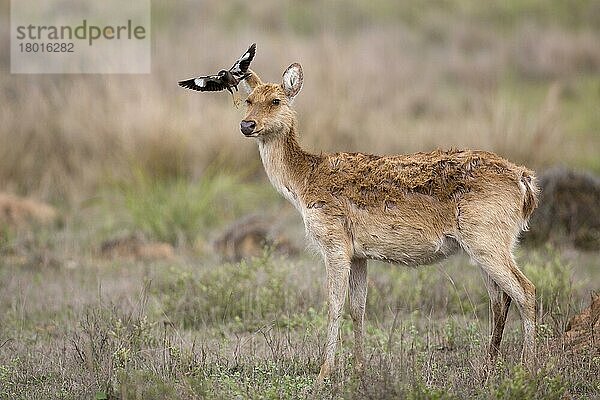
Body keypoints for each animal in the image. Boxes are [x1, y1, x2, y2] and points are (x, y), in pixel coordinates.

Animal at [236, 62, 540, 382]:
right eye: (248, 100)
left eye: (275, 100)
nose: (247, 125)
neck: (302, 182)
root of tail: (525, 182)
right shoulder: (358, 253)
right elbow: (358, 307)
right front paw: (359, 368)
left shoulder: (334, 242)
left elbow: (334, 305)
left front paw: (324, 373)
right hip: (489, 242)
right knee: (500, 299)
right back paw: (487, 368)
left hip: (487, 237)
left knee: (525, 290)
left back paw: (528, 368)